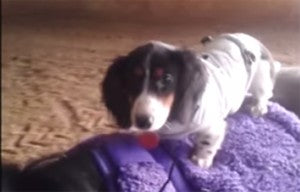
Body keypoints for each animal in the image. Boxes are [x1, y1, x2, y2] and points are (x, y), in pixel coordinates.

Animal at [102, 33, 278, 168]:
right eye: (132, 79)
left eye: (167, 78)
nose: (143, 122)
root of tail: (248, 37)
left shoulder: (213, 124)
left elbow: (208, 141)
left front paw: (201, 159)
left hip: (261, 79)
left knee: (264, 94)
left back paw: (259, 107)